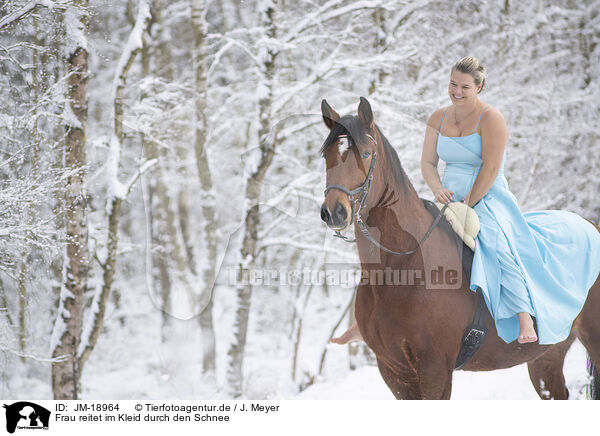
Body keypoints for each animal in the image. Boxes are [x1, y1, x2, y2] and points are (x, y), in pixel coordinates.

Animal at [322, 97, 600, 400]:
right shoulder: (394, 373)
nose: (334, 213)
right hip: (546, 355)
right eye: (326, 156)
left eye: (367, 153)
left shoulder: (435, 371)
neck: (401, 268)